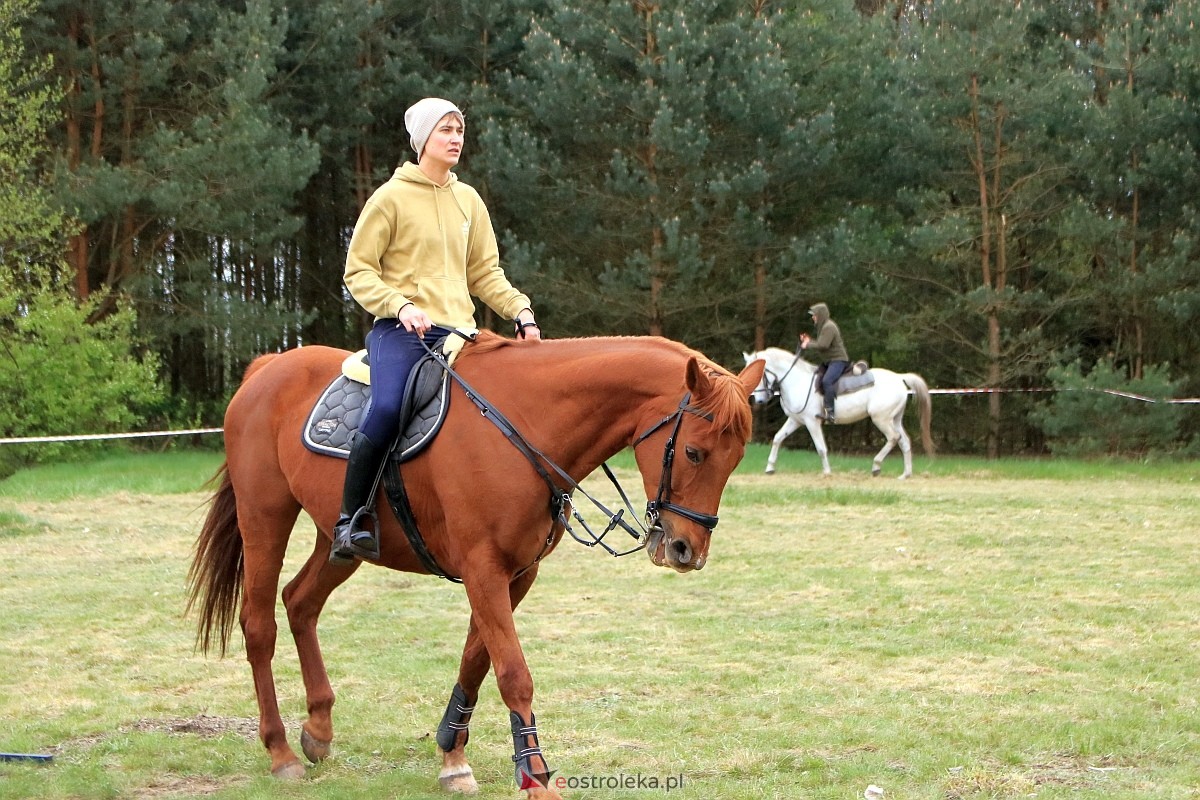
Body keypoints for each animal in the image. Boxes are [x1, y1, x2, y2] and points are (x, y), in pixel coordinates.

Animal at [187, 331, 768, 796]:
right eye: (693, 452)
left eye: (736, 458)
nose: (687, 550)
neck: (525, 424)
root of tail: (266, 369)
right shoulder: (483, 568)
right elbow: (513, 673)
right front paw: (534, 776)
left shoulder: (516, 574)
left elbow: (477, 660)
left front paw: (452, 757)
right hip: (265, 517)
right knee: (259, 625)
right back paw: (281, 751)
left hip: (340, 541)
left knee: (301, 603)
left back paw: (319, 730)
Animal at [744, 347, 931, 479]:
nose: (758, 400)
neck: (797, 381)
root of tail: (899, 377)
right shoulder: (795, 420)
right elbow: (777, 438)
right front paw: (770, 467)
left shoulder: (812, 422)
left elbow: (821, 448)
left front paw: (827, 472)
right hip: (895, 419)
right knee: (905, 442)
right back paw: (905, 474)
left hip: (881, 419)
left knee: (893, 438)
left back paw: (876, 466)